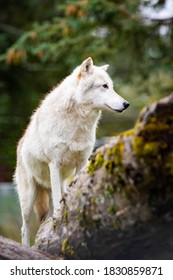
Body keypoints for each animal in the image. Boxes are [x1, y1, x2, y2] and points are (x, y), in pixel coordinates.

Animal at [14, 57, 129, 245]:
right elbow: (57, 204)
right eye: (104, 86)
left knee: (44, 221)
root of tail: (20, 144)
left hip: (57, 185)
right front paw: (60, 221)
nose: (126, 104)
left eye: (112, 86)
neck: (77, 123)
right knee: (25, 229)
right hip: (29, 198)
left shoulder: (82, 163)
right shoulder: (54, 164)